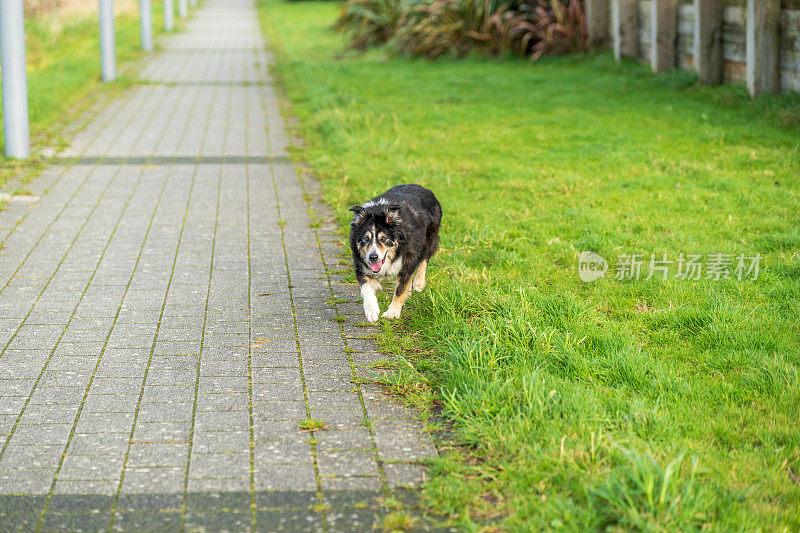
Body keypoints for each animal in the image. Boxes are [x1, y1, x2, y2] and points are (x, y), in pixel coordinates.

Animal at [346, 185, 440, 322]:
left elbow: (400, 290)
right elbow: (366, 289)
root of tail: (425, 188)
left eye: (384, 238)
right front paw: (371, 311)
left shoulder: (408, 257)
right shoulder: (361, 266)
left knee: (424, 259)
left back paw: (418, 283)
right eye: (366, 238)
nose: (373, 257)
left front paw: (393, 312)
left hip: (429, 239)